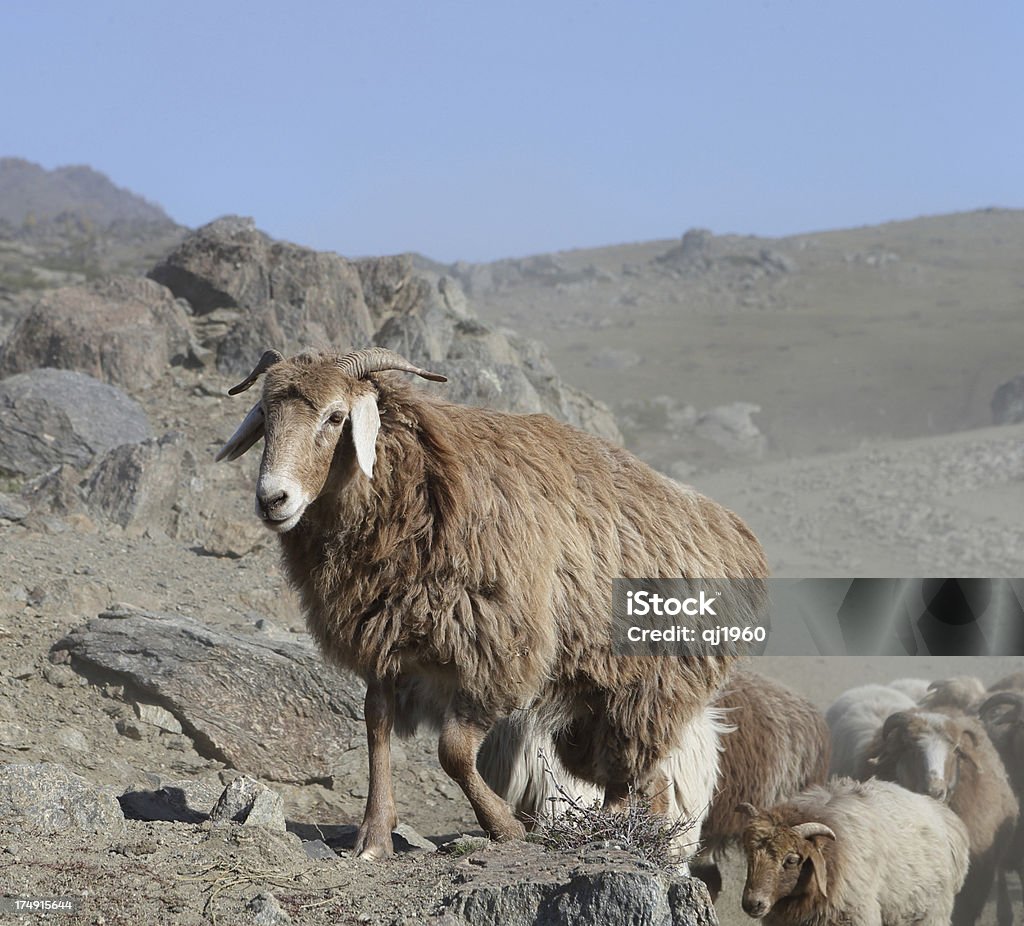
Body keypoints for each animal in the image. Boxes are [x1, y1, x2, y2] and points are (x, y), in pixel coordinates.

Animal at [218, 348, 770, 860]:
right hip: (594, 705)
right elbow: (377, 727)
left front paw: (503, 827)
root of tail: (736, 534)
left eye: (336, 417)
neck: (416, 490)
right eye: (265, 415)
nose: (273, 500)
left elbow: (453, 753)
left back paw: (623, 838)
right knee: (625, 774)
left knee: (639, 773)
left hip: (652, 686)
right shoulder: (385, 640)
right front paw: (373, 838)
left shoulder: (498, 649)